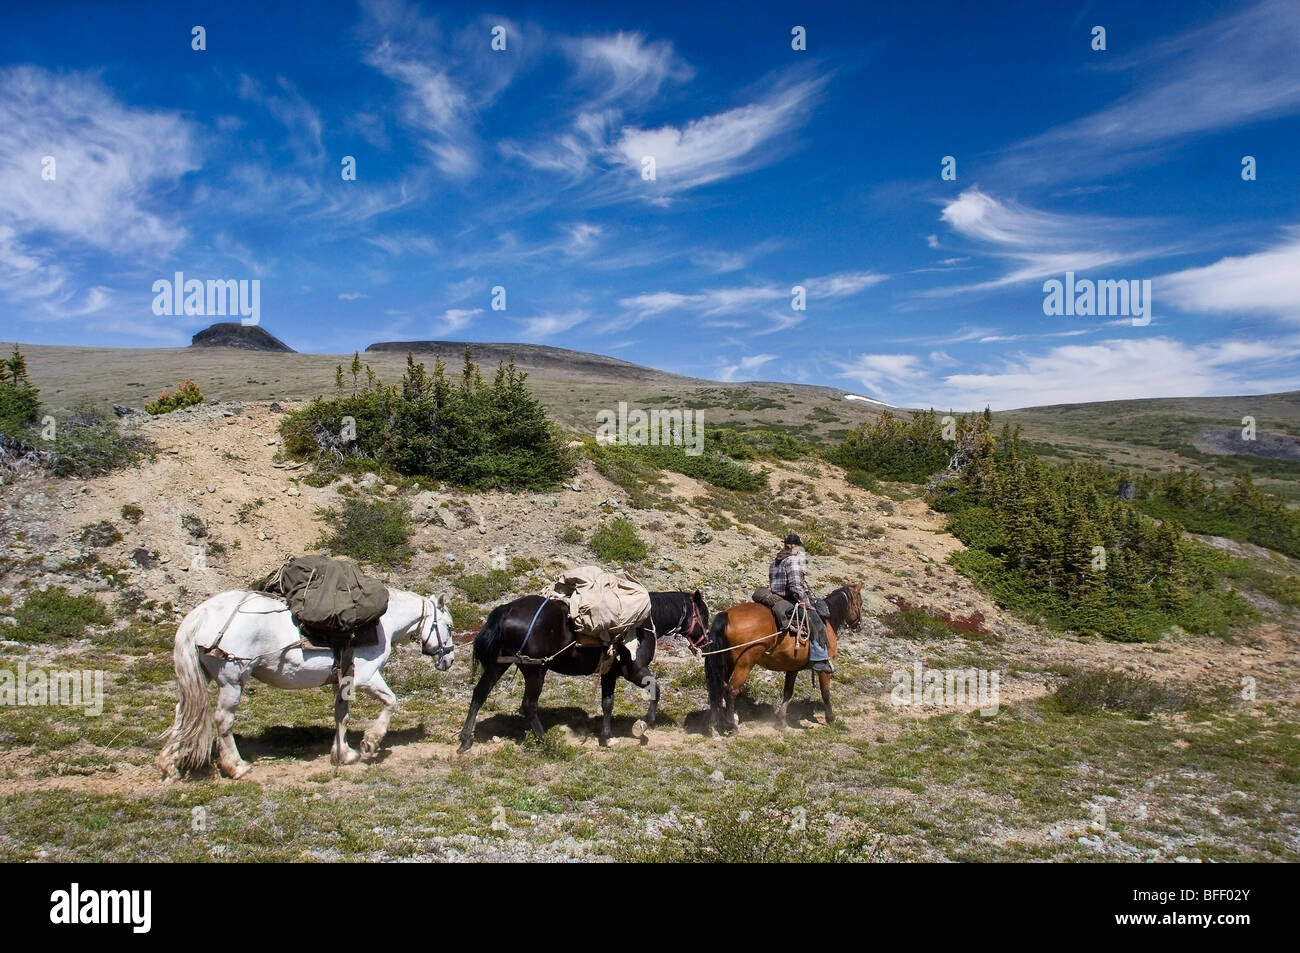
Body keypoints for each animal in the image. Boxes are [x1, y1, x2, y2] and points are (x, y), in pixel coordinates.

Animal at [159, 582, 454, 774]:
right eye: (449, 626)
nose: (448, 660)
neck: (382, 623)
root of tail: (201, 614)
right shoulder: (366, 678)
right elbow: (391, 702)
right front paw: (371, 742)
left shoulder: (343, 682)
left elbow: (341, 715)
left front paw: (344, 754)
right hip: (232, 681)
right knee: (222, 720)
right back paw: (236, 766)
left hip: (202, 677)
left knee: (183, 712)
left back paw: (169, 763)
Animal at [460, 587, 712, 748]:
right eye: (704, 614)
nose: (707, 642)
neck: (644, 623)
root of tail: (509, 609)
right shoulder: (635, 671)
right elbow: (656, 691)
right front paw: (643, 724)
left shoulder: (610, 673)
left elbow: (608, 703)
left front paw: (607, 737)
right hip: (535, 670)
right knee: (528, 705)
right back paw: (545, 741)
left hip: (498, 665)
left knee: (480, 693)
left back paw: (465, 739)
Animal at [702, 579, 863, 728]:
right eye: (860, 603)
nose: (859, 626)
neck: (827, 622)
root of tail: (726, 614)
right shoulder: (825, 668)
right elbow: (826, 693)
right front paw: (831, 719)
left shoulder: (793, 668)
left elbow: (788, 692)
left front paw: (782, 721)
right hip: (744, 664)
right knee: (731, 690)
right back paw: (732, 725)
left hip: (727, 662)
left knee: (721, 686)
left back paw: (724, 720)